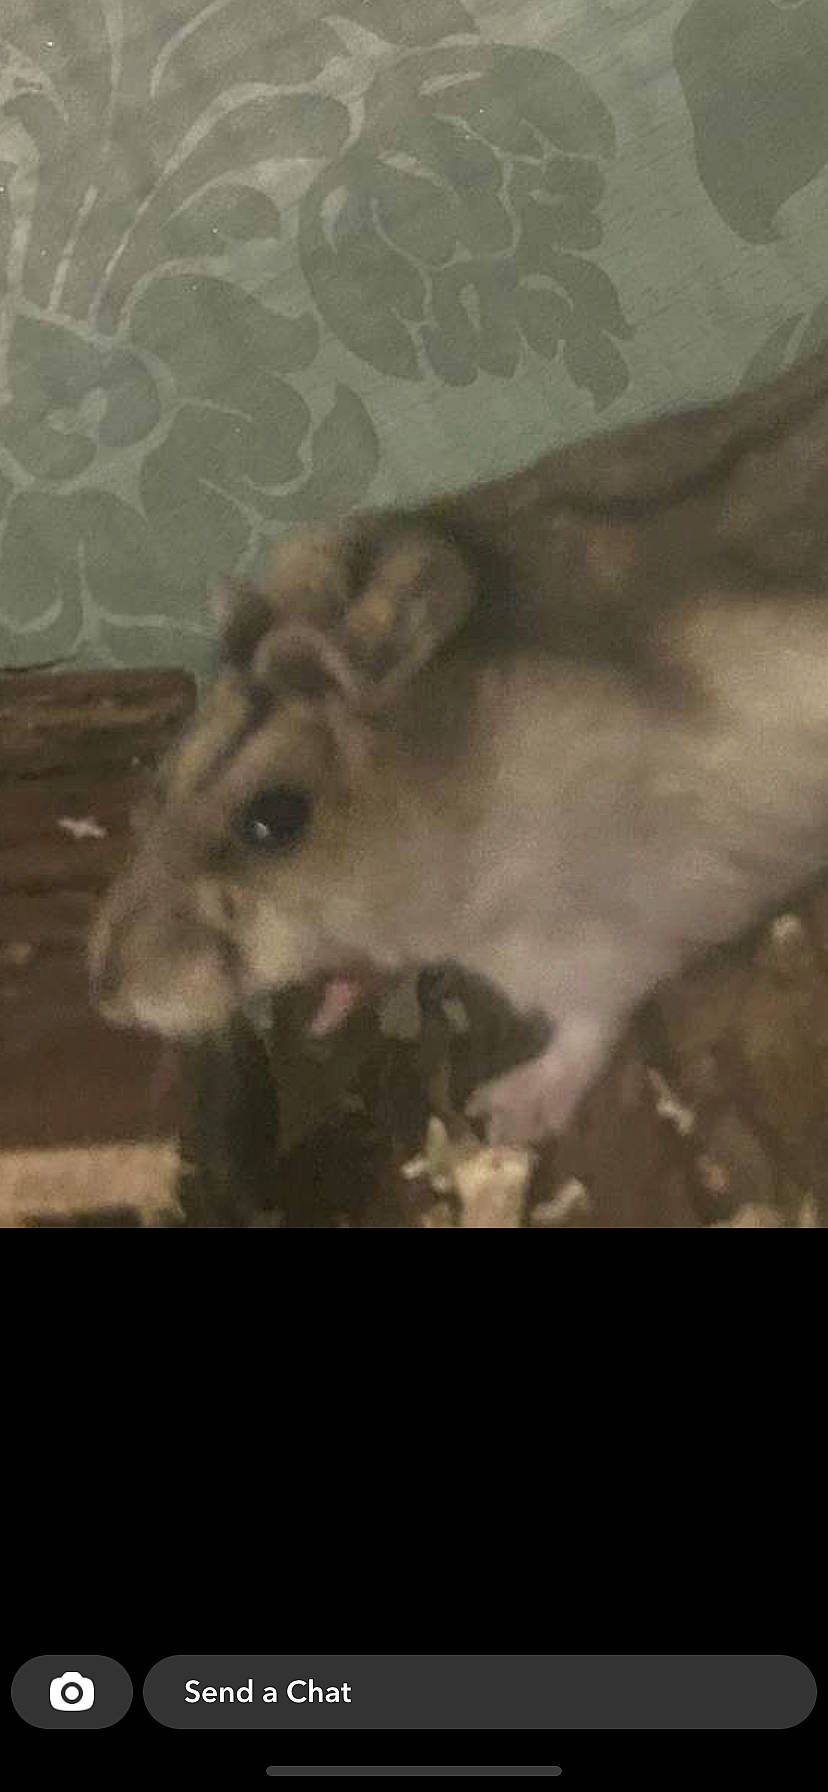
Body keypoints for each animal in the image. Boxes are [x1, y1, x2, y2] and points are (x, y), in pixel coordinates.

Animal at [91, 339, 828, 1144]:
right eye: (165, 777)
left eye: (274, 820)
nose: (102, 989)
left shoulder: (595, 940)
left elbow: (586, 1026)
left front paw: (501, 1112)